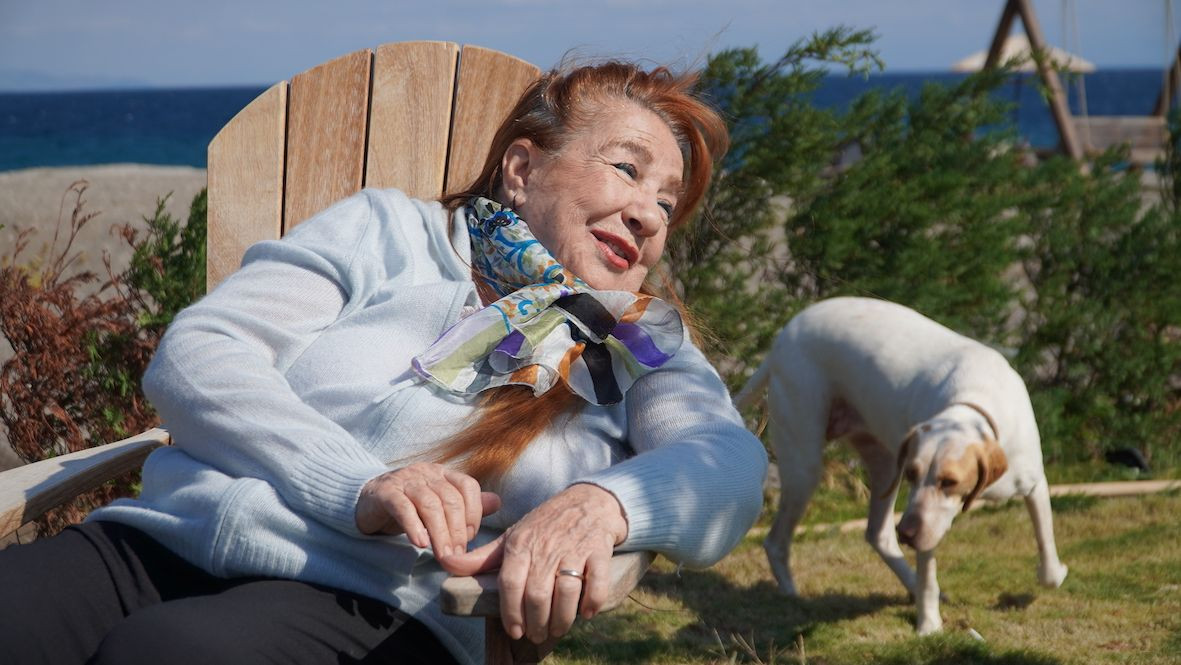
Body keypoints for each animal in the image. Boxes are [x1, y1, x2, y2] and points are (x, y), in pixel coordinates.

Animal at [732, 296, 1067, 633]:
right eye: (913, 474)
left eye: (949, 482)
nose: (907, 532)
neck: (973, 403)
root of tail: (783, 338)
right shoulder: (925, 517)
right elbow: (928, 574)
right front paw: (929, 625)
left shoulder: (1034, 484)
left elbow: (1048, 554)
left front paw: (1051, 573)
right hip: (808, 467)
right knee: (776, 541)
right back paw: (792, 594)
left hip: (882, 466)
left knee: (878, 534)